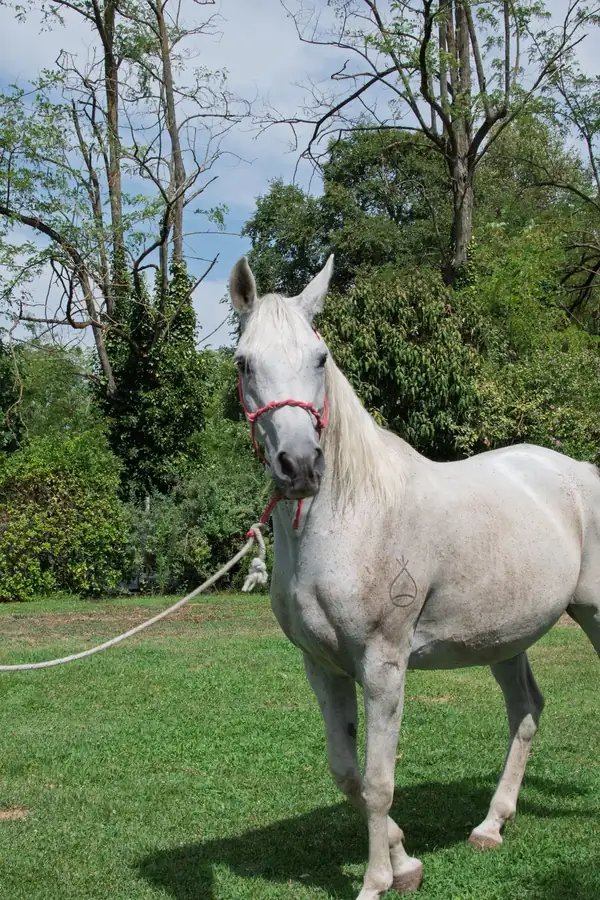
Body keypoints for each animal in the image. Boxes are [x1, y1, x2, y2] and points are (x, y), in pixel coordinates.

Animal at [229, 254, 600, 899]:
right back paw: (490, 826)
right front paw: (405, 862)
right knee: (526, 710)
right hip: (506, 639)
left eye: (320, 357)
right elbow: (348, 775)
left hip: (596, 615)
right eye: (244, 362)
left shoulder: (383, 666)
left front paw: (377, 880)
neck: (352, 515)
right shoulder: (323, 667)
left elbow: (379, 782)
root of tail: (581, 471)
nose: (300, 467)